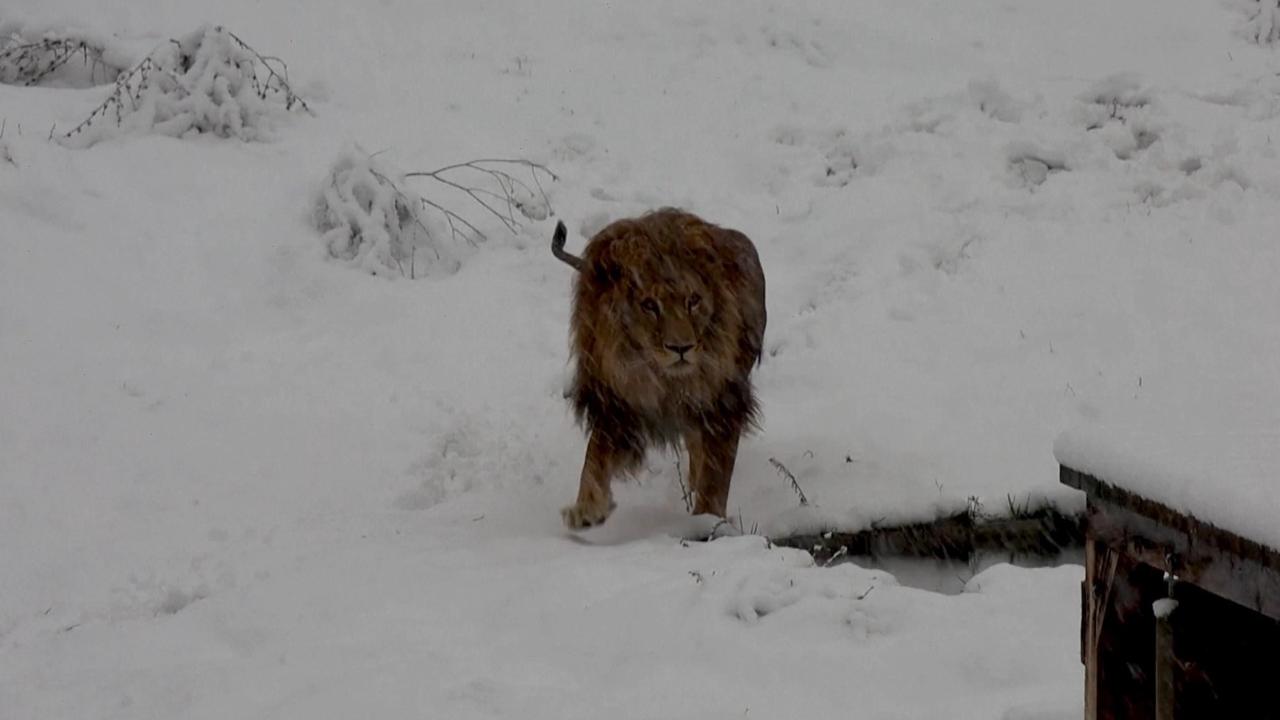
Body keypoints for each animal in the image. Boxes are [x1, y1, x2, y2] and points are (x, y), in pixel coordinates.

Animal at [552, 207, 768, 527]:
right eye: (649, 305)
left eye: (694, 300)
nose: (681, 348)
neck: (661, 379)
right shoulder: (614, 405)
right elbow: (594, 457)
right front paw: (586, 510)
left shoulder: (723, 402)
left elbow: (716, 474)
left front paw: (707, 520)